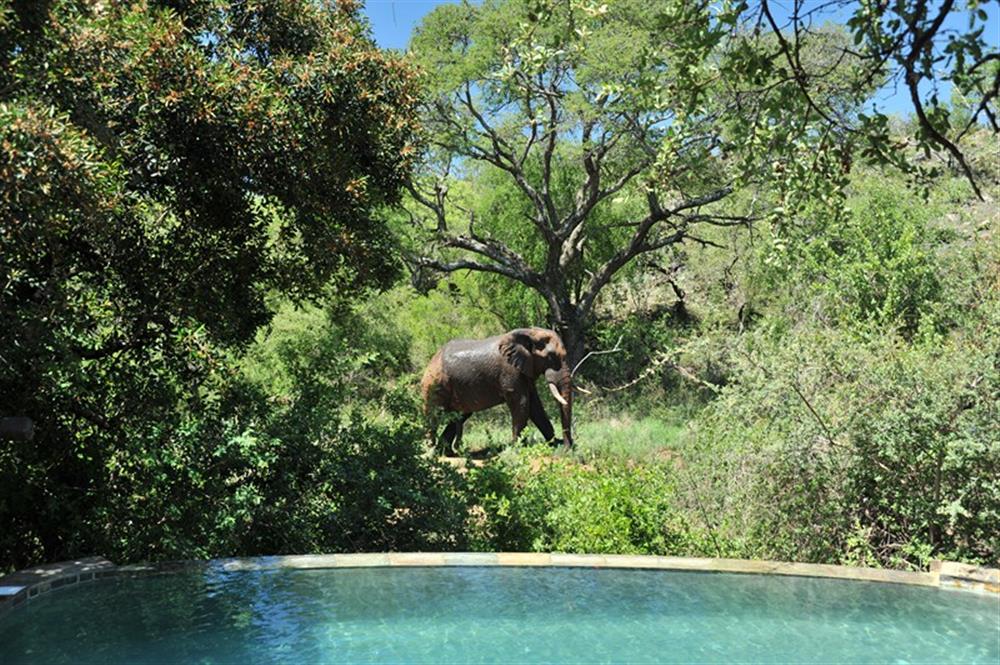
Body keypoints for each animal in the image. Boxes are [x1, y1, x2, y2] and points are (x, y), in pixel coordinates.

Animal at [422, 326, 576, 454]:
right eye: (551, 357)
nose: (568, 447)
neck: (531, 332)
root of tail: (430, 362)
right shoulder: (509, 371)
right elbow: (522, 403)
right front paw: (517, 448)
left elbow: (535, 406)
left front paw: (554, 444)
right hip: (434, 385)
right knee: (434, 416)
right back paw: (430, 453)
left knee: (459, 416)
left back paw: (446, 453)